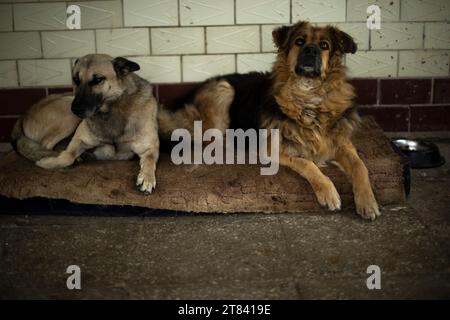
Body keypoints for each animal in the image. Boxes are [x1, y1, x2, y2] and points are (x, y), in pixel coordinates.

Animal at [12, 54, 159, 194]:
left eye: (98, 80)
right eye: (76, 80)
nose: (75, 109)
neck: (112, 109)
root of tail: (24, 115)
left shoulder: (150, 148)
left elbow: (150, 160)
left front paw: (147, 178)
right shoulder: (79, 140)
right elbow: (67, 156)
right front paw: (49, 163)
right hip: (68, 112)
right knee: (45, 145)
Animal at [158, 20, 380, 220]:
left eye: (324, 45)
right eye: (299, 41)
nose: (311, 50)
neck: (307, 96)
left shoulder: (342, 143)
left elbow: (361, 166)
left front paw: (368, 202)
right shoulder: (271, 148)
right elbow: (307, 163)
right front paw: (327, 191)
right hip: (224, 91)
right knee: (205, 141)